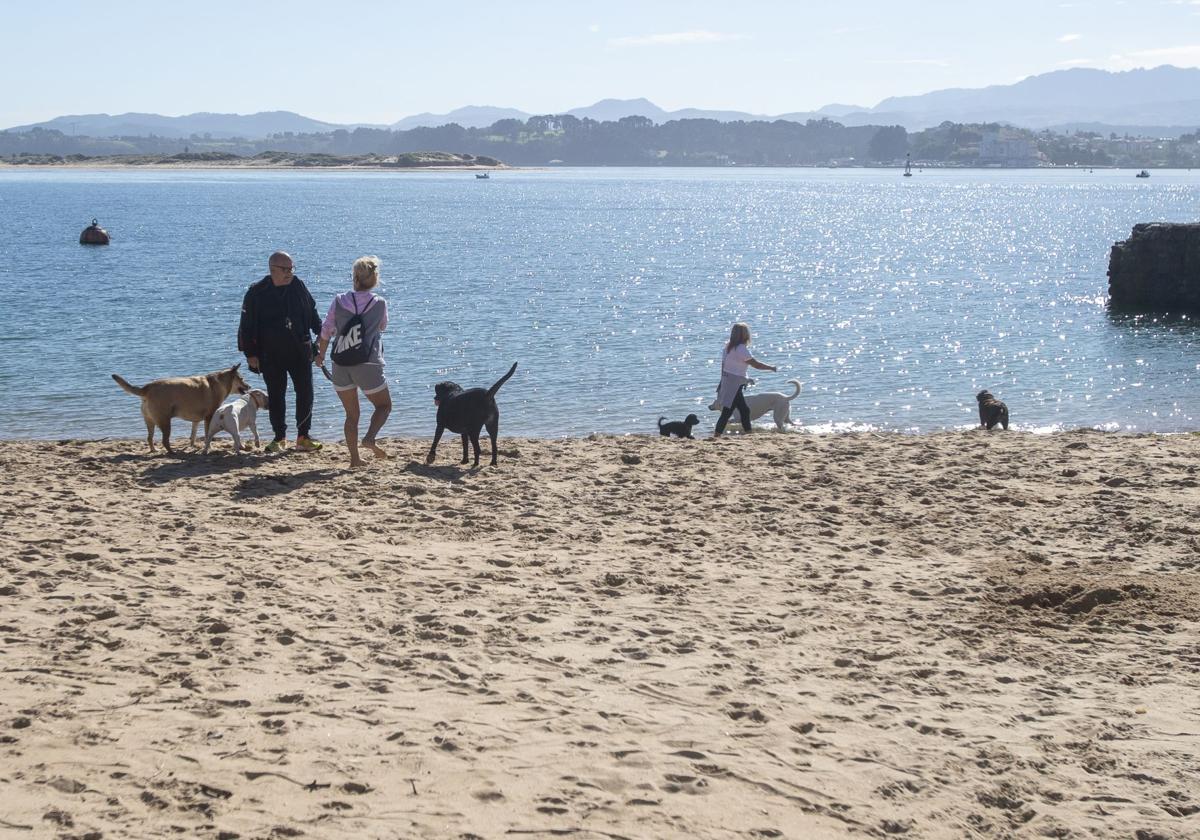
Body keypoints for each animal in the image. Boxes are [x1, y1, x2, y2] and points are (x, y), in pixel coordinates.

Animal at [113, 362, 252, 453]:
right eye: (242, 378)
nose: (249, 386)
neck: (220, 383)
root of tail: (146, 388)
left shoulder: (196, 420)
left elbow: (193, 435)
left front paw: (193, 446)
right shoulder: (209, 417)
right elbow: (208, 435)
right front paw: (208, 448)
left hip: (149, 420)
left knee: (149, 437)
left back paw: (154, 450)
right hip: (165, 421)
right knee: (164, 440)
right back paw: (172, 452)